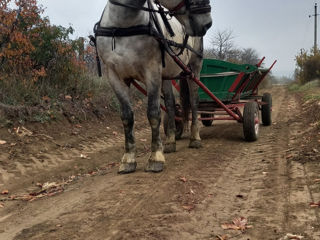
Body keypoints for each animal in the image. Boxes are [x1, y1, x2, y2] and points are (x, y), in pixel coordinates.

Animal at [96, 0, 214, 172]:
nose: (207, 23)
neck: (123, 26)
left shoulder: (152, 72)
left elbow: (153, 113)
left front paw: (156, 157)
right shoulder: (115, 77)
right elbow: (127, 117)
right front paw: (128, 159)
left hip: (193, 69)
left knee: (194, 102)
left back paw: (195, 138)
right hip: (166, 75)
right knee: (171, 104)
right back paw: (170, 141)